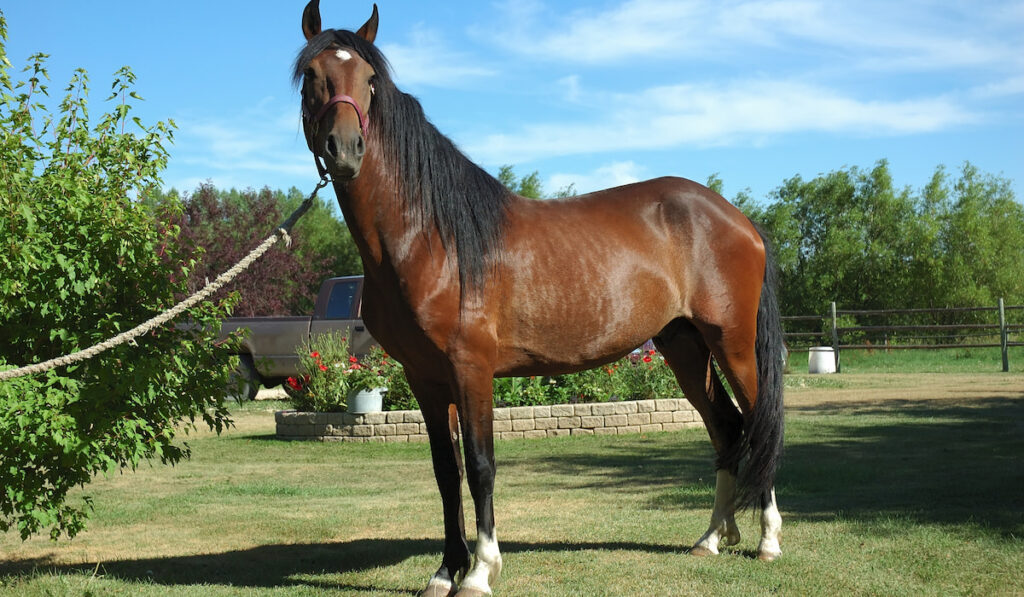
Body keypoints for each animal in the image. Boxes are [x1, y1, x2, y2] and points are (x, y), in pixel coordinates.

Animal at [294, 2, 782, 593]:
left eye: (369, 80)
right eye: (312, 76)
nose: (346, 150)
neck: (431, 236)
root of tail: (738, 219)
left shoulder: (471, 369)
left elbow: (481, 466)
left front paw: (481, 570)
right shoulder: (425, 377)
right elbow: (445, 470)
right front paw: (446, 569)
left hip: (731, 345)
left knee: (759, 424)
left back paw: (768, 542)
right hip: (685, 347)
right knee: (727, 430)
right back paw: (711, 539)